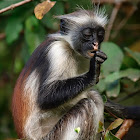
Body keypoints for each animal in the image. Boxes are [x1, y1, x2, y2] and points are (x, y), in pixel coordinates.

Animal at [12, 9, 107, 140]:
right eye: (87, 34)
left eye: (100, 35)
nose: (95, 43)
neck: (70, 48)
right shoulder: (57, 51)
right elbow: (45, 97)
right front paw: (93, 73)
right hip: (52, 135)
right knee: (86, 105)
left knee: (94, 96)